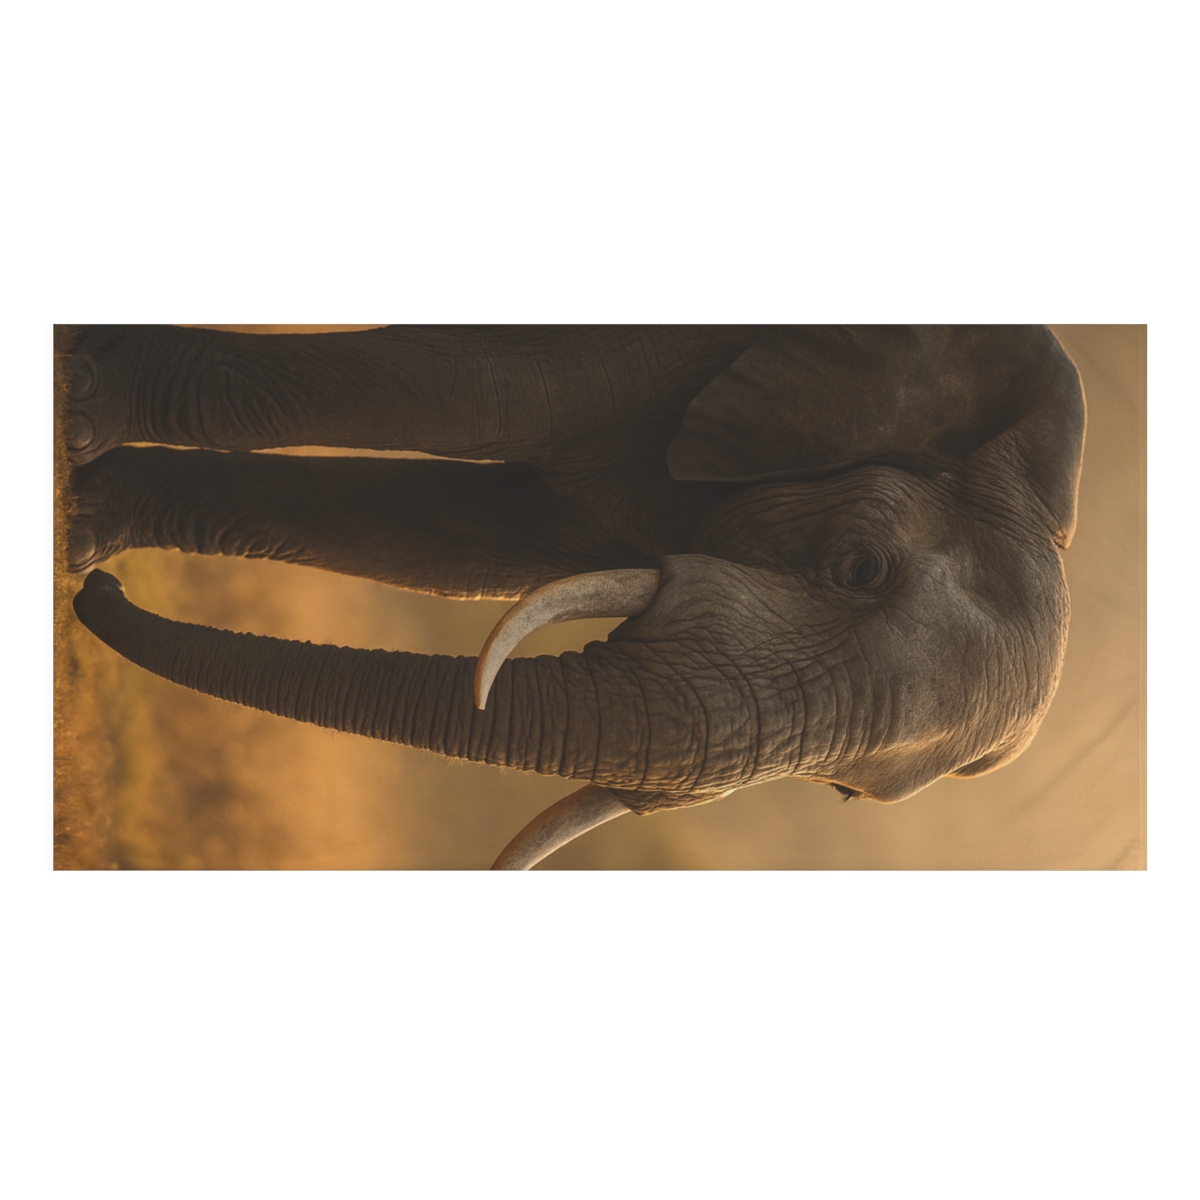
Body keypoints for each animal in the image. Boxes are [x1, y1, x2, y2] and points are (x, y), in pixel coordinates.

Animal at [64, 324, 1086, 869]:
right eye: (859, 568)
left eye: (844, 792)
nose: (97, 598)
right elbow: (466, 393)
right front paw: (76, 422)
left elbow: (454, 536)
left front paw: (83, 530)